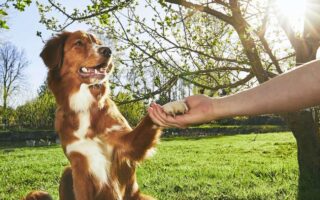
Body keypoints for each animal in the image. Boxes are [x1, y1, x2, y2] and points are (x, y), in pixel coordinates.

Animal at [25, 30, 188, 200]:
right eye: (79, 43)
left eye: (98, 43)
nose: (108, 51)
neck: (85, 106)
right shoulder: (79, 167)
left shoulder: (127, 145)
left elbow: (148, 118)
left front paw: (170, 106)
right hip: (67, 172)